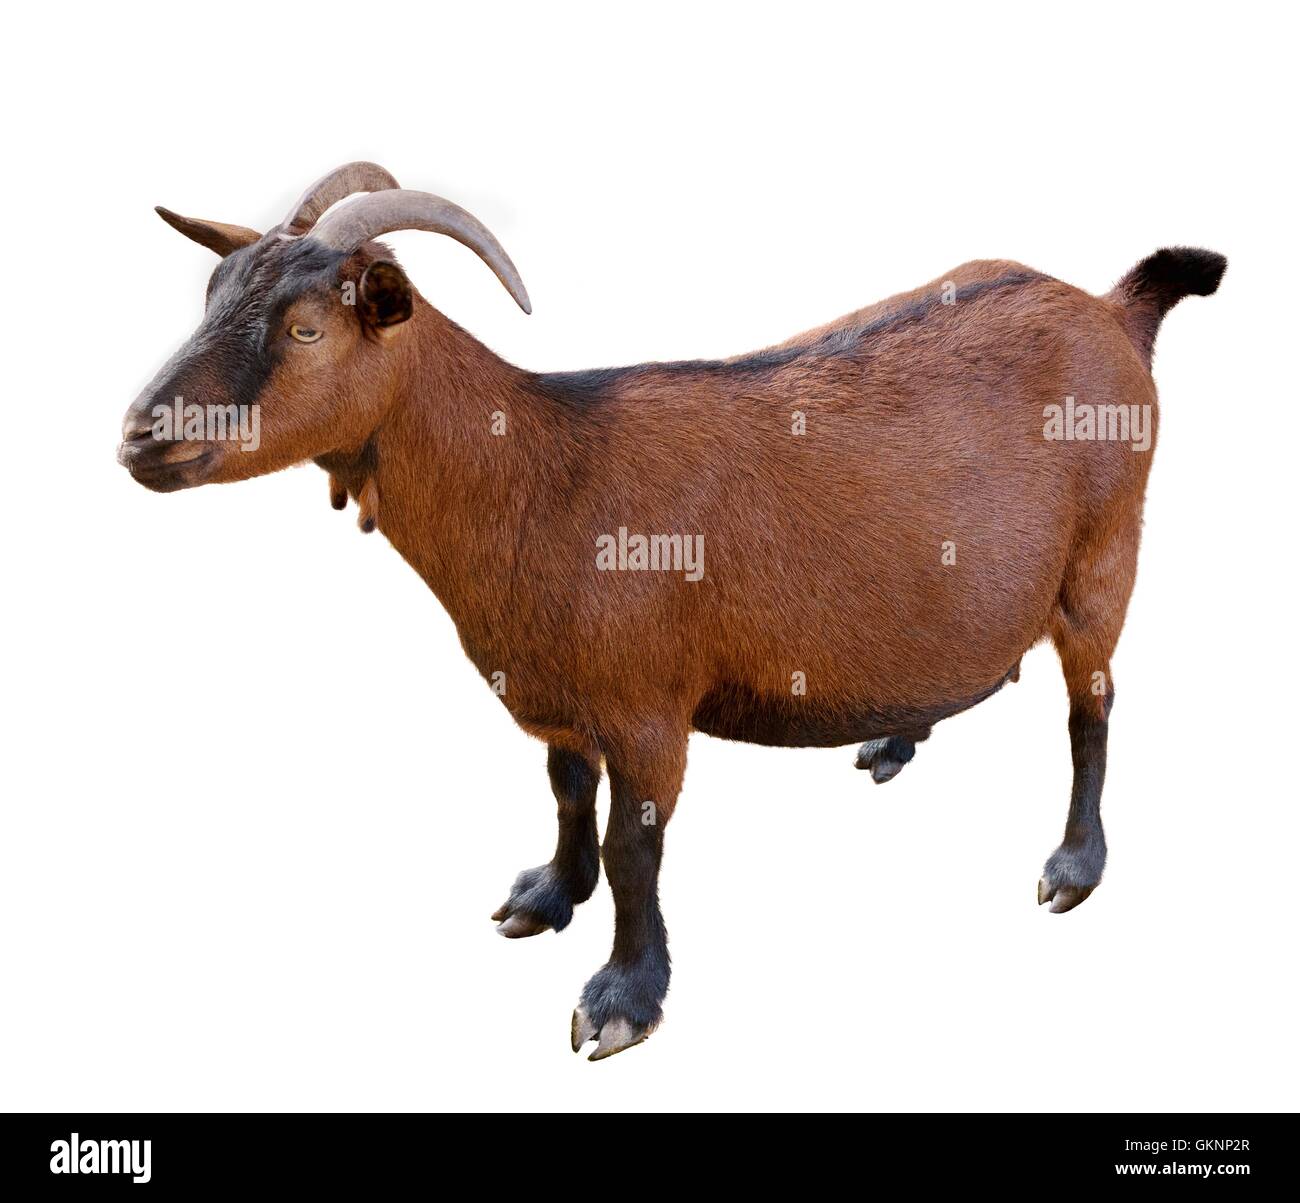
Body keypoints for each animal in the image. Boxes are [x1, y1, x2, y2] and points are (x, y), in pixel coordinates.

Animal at [120, 162, 1226, 1060]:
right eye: (210, 296)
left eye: (306, 328)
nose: (139, 435)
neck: (541, 475)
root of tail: (1111, 310)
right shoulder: (560, 694)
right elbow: (567, 791)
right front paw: (545, 894)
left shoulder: (650, 708)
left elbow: (633, 845)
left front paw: (622, 998)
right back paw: (892, 737)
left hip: (1102, 558)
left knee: (1091, 708)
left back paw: (1073, 864)